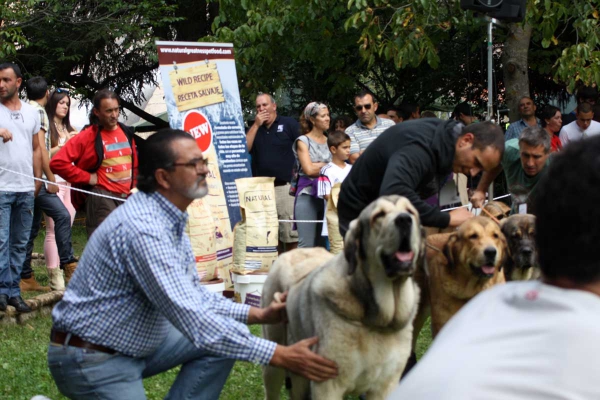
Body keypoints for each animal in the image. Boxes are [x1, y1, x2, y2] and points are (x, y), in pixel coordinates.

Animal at [260, 195, 424, 398]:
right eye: (379, 215)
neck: (376, 320)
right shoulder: (327, 385)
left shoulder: (385, 385)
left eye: (411, 212)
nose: (404, 220)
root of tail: (289, 252)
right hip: (275, 364)